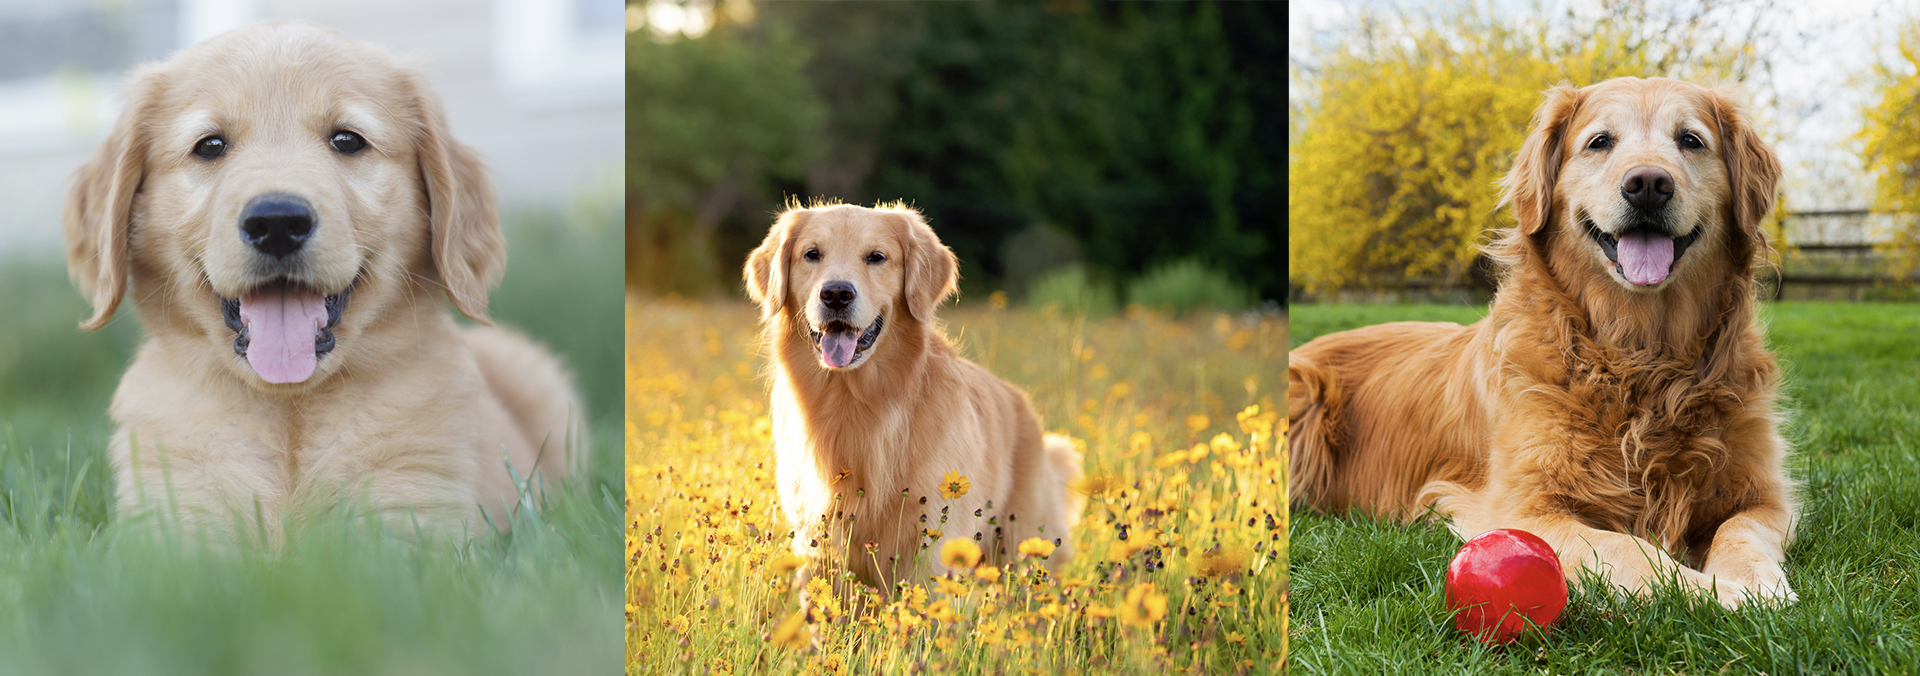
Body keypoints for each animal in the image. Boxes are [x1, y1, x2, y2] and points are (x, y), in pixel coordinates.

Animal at [65, 21, 583, 537]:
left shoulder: (414, 519)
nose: (276, 222)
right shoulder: (173, 524)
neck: (288, 408)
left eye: (348, 140)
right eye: (210, 146)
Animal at [744, 200, 1090, 595]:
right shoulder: (819, 542)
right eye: (812, 254)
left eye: (877, 257)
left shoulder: (934, 542)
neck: (856, 402)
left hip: (1021, 542)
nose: (835, 294)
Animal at [1290, 76, 1797, 610]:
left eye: (1691, 140)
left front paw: (1756, 585)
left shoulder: (1765, 496)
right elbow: (1632, 549)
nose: (1648, 185)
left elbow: (1739, 533)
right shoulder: (1521, 507)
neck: (1640, 355)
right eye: (1600, 141)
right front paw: (1718, 594)